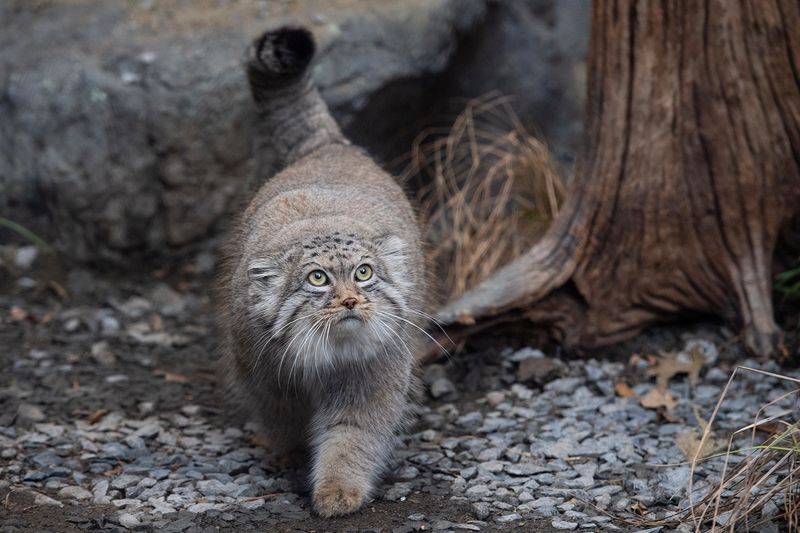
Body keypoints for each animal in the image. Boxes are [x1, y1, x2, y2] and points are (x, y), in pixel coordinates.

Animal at [219, 28, 428, 516]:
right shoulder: (264, 376)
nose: (351, 300)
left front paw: (337, 490)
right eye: (318, 278)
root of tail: (331, 147)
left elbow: (351, 435)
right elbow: (286, 420)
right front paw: (295, 455)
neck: (324, 358)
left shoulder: (373, 376)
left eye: (365, 272)